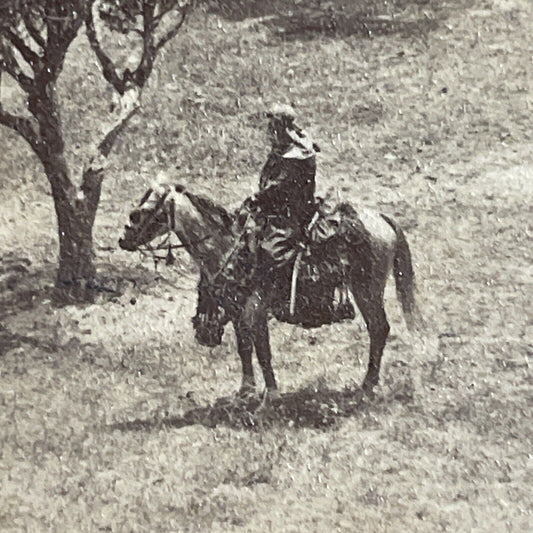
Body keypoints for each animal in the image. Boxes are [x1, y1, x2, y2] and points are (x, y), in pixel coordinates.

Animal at [117, 182, 420, 394]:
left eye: (141, 212)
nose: (123, 240)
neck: (230, 247)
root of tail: (380, 218)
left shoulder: (255, 309)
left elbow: (262, 350)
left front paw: (270, 394)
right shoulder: (237, 310)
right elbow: (244, 348)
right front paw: (246, 391)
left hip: (367, 290)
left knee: (379, 329)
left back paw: (368, 385)